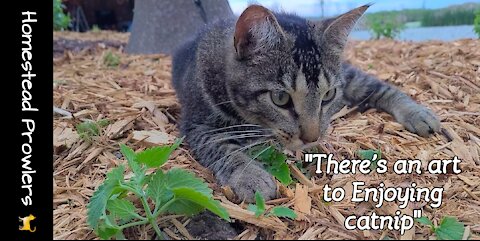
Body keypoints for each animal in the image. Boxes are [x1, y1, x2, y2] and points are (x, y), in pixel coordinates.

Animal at [171, 4, 440, 202]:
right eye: (280, 98)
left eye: (328, 95)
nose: (312, 138)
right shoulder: (196, 125)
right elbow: (223, 148)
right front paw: (249, 175)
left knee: (376, 85)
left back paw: (417, 113)